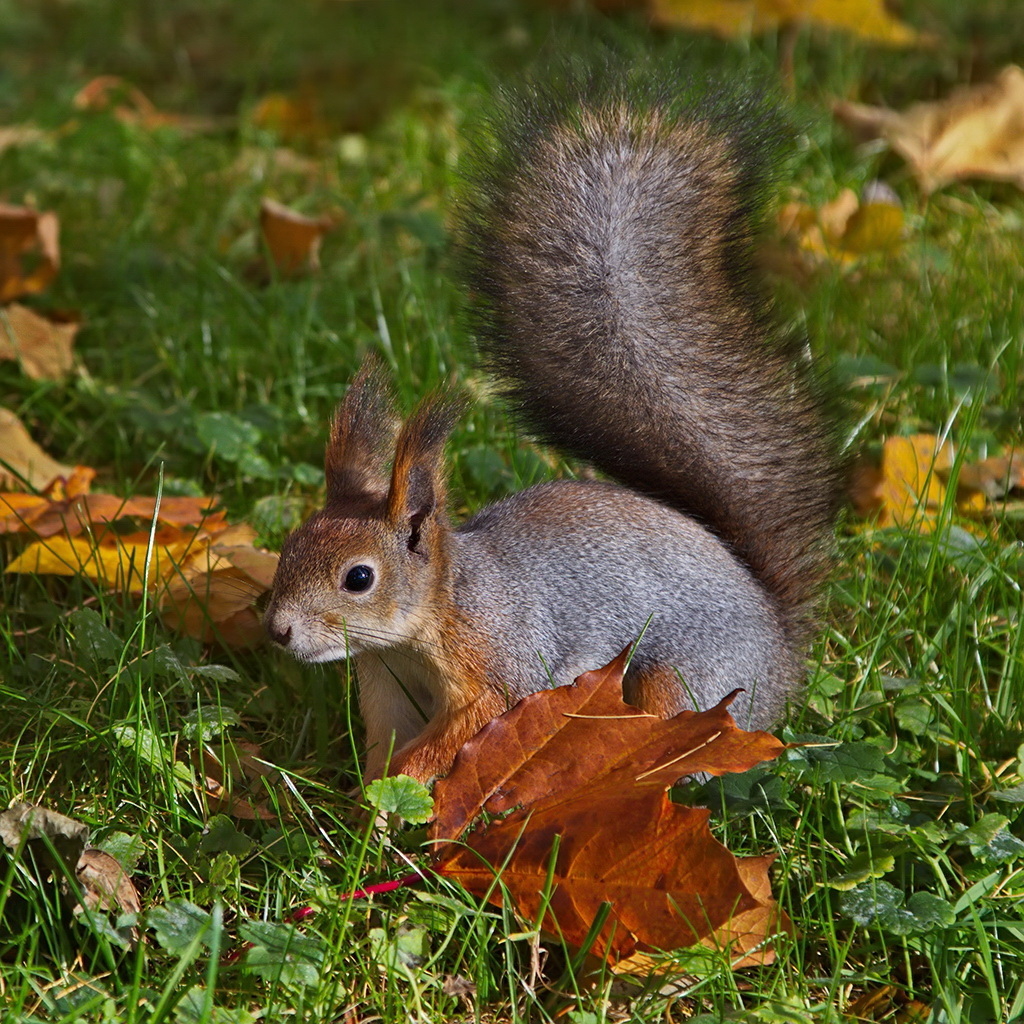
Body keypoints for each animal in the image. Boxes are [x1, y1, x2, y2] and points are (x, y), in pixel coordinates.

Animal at [262, 68, 839, 782]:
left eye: (359, 578)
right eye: (290, 544)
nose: (278, 630)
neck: (434, 615)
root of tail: (781, 654)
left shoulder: (500, 664)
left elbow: (470, 726)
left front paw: (409, 781)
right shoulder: (386, 689)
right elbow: (384, 748)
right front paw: (365, 797)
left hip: (686, 684)